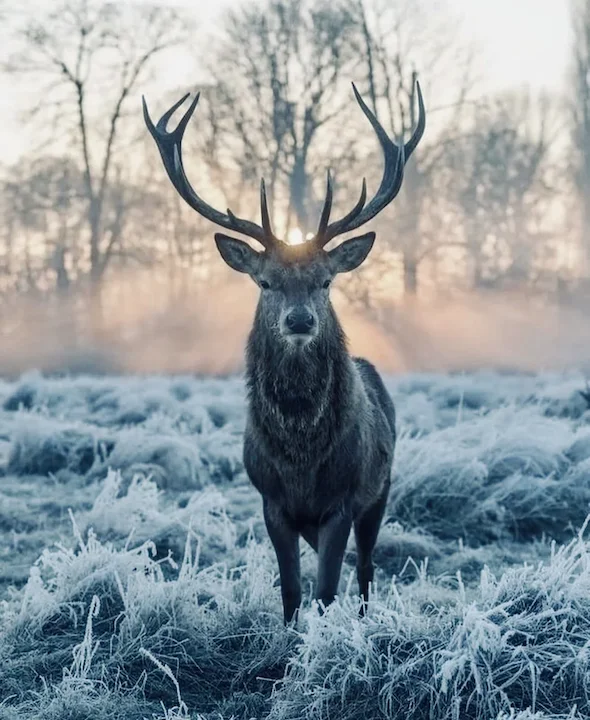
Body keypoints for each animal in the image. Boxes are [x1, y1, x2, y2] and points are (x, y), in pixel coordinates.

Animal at [143, 81, 425, 624]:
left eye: (326, 280)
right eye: (265, 281)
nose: (299, 320)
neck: (300, 458)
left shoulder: (342, 500)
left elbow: (326, 590)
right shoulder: (271, 500)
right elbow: (293, 592)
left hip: (381, 489)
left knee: (366, 568)